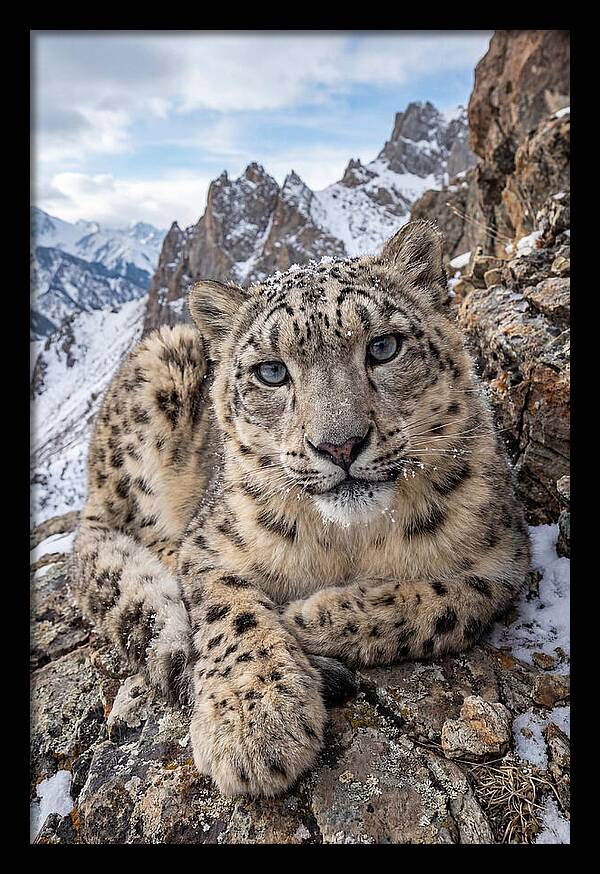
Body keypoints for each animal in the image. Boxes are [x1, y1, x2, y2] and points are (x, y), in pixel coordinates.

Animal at [71, 220, 529, 798]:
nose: (340, 445)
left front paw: (308, 617)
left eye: (384, 346)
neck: (350, 541)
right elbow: (231, 612)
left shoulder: (504, 557)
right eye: (271, 372)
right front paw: (255, 722)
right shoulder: (210, 544)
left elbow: (446, 602)